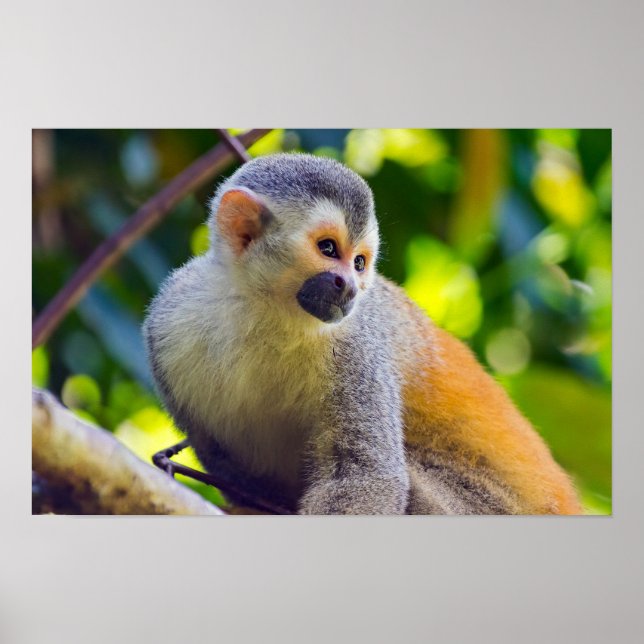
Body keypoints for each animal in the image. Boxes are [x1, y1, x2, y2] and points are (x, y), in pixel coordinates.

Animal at [143, 152, 582, 515]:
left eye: (359, 262)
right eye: (328, 249)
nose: (351, 288)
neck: (263, 310)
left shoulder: (356, 346)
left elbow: (365, 473)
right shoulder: (167, 323)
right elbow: (236, 474)